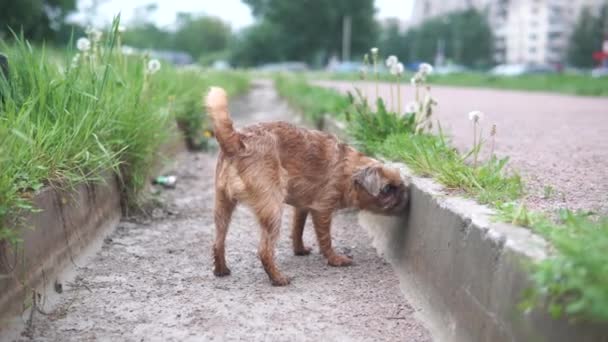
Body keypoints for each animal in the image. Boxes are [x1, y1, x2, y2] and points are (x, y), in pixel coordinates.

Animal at [207, 86, 410, 286]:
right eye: (387, 189)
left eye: (399, 186)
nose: (404, 195)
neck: (348, 168)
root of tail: (238, 142)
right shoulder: (323, 210)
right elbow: (325, 239)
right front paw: (334, 259)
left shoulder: (302, 207)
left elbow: (297, 229)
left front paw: (300, 250)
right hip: (272, 209)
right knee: (264, 250)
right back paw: (278, 278)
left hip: (223, 206)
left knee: (218, 241)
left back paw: (221, 270)